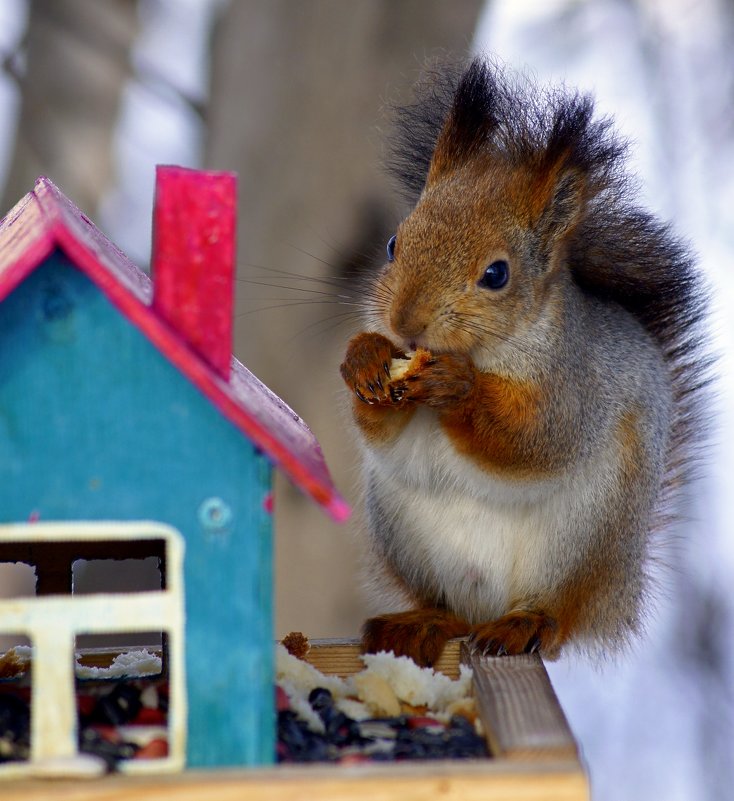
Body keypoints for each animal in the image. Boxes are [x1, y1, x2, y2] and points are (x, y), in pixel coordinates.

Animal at [340, 56, 712, 664]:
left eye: (497, 274)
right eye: (394, 244)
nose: (404, 323)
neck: (485, 351)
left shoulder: (577, 384)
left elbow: (533, 439)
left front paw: (458, 386)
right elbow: (382, 433)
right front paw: (365, 359)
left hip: (582, 539)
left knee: (556, 616)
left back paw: (526, 623)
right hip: (404, 537)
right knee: (449, 609)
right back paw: (422, 622)